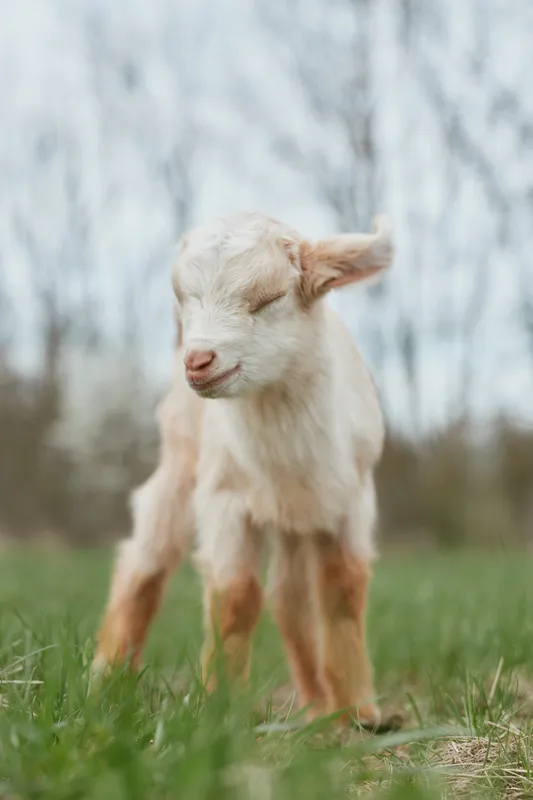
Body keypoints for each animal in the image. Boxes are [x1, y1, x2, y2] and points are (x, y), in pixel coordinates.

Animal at [93, 211, 393, 726]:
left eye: (269, 299)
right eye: (185, 299)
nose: (198, 361)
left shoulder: (352, 496)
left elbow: (342, 591)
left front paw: (359, 711)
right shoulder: (224, 496)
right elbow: (235, 596)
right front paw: (220, 707)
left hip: (294, 516)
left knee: (290, 598)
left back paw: (317, 704)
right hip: (181, 461)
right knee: (144, 563)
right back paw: (105, 680)